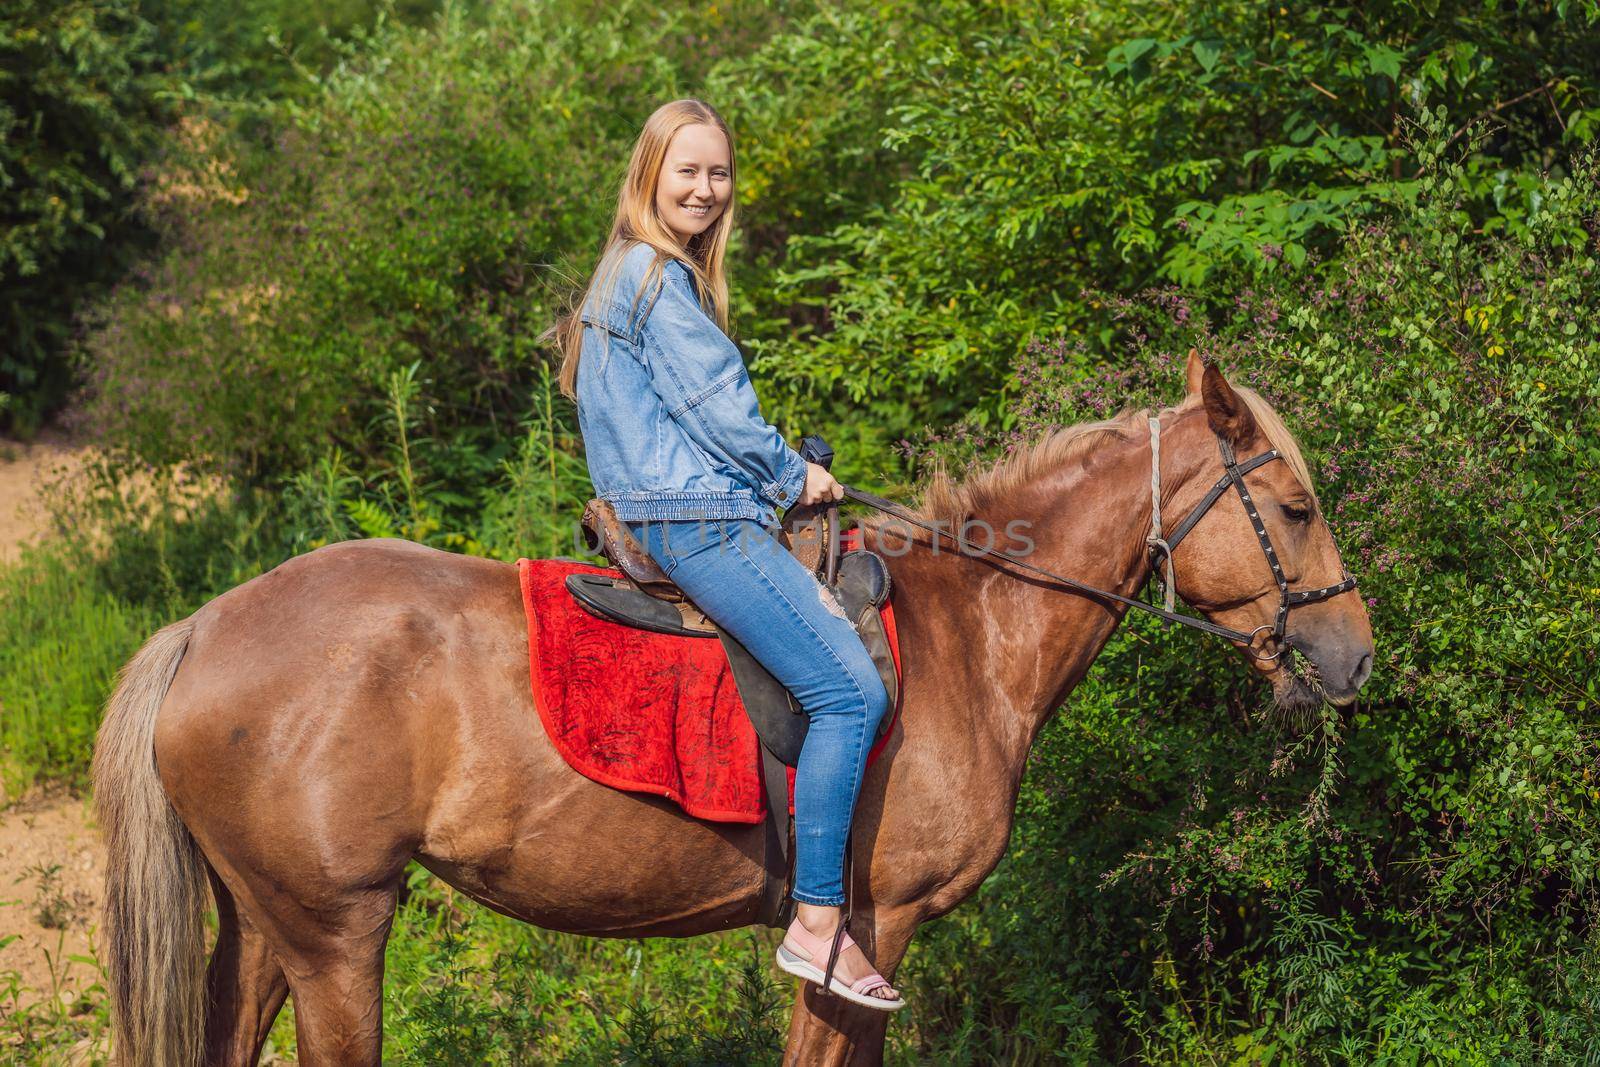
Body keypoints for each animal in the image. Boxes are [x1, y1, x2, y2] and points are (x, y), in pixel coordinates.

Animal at [93, 355, 1376, 1062]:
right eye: (1296, 508)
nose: (1354, 654)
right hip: (335, 935)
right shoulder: (870, 932)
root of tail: (205, 625)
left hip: (268, 929)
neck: (970, 634)